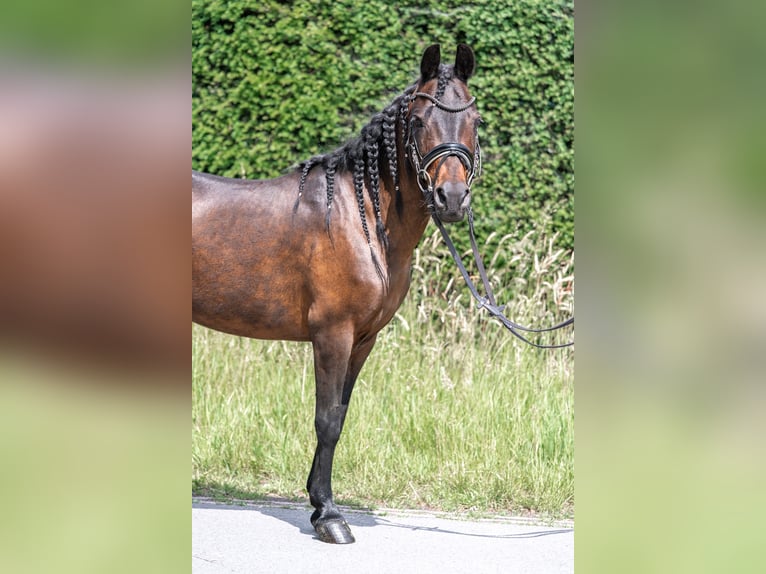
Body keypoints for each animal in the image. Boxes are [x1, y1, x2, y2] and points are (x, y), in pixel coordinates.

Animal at [192, 44, 481, 544]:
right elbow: (325, 420)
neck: (359, 215)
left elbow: (340, 416)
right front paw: (329, 516)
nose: (451, 198)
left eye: (475, 120)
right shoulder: (333, 334)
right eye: (418, 122)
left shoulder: (363, 339)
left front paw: (317, 501)